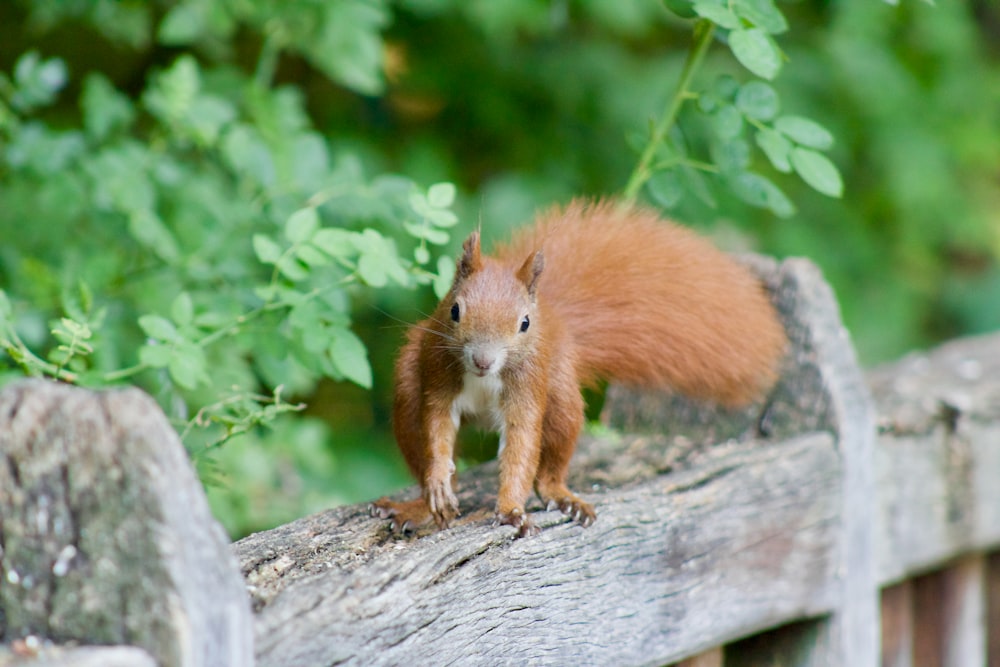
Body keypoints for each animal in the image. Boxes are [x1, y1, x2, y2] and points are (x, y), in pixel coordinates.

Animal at [370, 198, 788, 536]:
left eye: (524, 323)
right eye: (454, 310)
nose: (482, 361)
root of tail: (558, 319)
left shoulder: (528, 386)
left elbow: (522, 444)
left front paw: (511, 510)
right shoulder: (437, 371)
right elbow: (437, 427)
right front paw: (440, 481)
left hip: (561, 398)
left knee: (551, 462)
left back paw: (562, 496)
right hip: (407, 387)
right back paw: (418, 507)